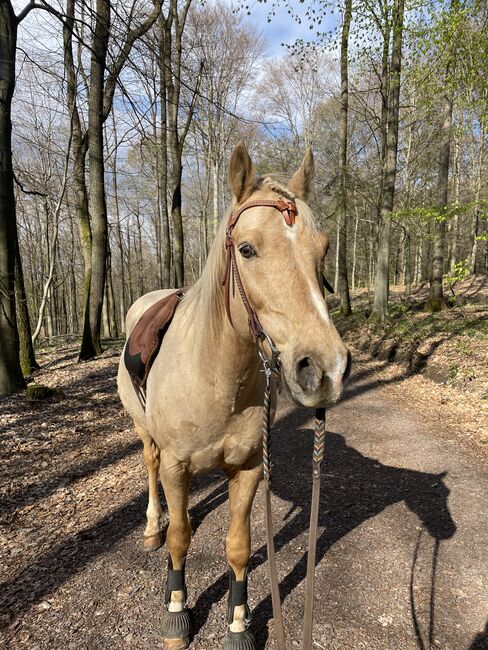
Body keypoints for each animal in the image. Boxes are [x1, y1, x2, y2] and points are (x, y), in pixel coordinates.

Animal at [116, 143, 348, 648]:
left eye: (323, 249)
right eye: (247, 249)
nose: (325, 371)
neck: (215, 378)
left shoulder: (248, 469)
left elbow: (239, 547)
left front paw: (238, 622)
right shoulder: (177, 466)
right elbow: (181, 537)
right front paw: (176, 611)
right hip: (145, 432)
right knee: (150, 467)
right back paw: (152, 526)